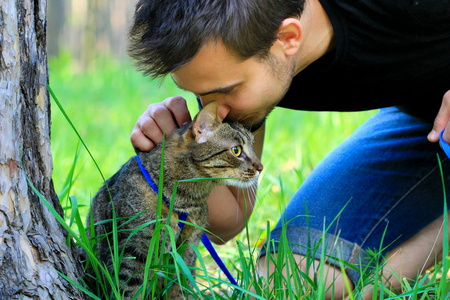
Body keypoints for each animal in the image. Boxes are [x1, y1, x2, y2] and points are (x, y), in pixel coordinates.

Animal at [83, 102, 264, 298]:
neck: (184, 201)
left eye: (253, 147)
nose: (260, 167)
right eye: (236, 150)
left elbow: (180, 287)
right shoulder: (132, 251)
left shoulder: (188, 249)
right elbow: (130, 291)